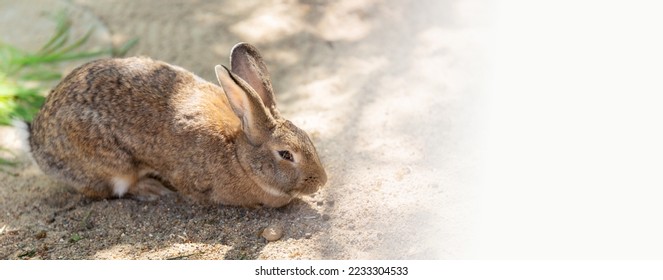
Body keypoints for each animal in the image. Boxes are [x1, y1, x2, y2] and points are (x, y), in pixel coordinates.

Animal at [29, 42, 330, 208]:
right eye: (286, 155)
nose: (322, 181)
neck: (239, 155)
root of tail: (36, 145)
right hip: (111, 164)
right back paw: (152, 189)